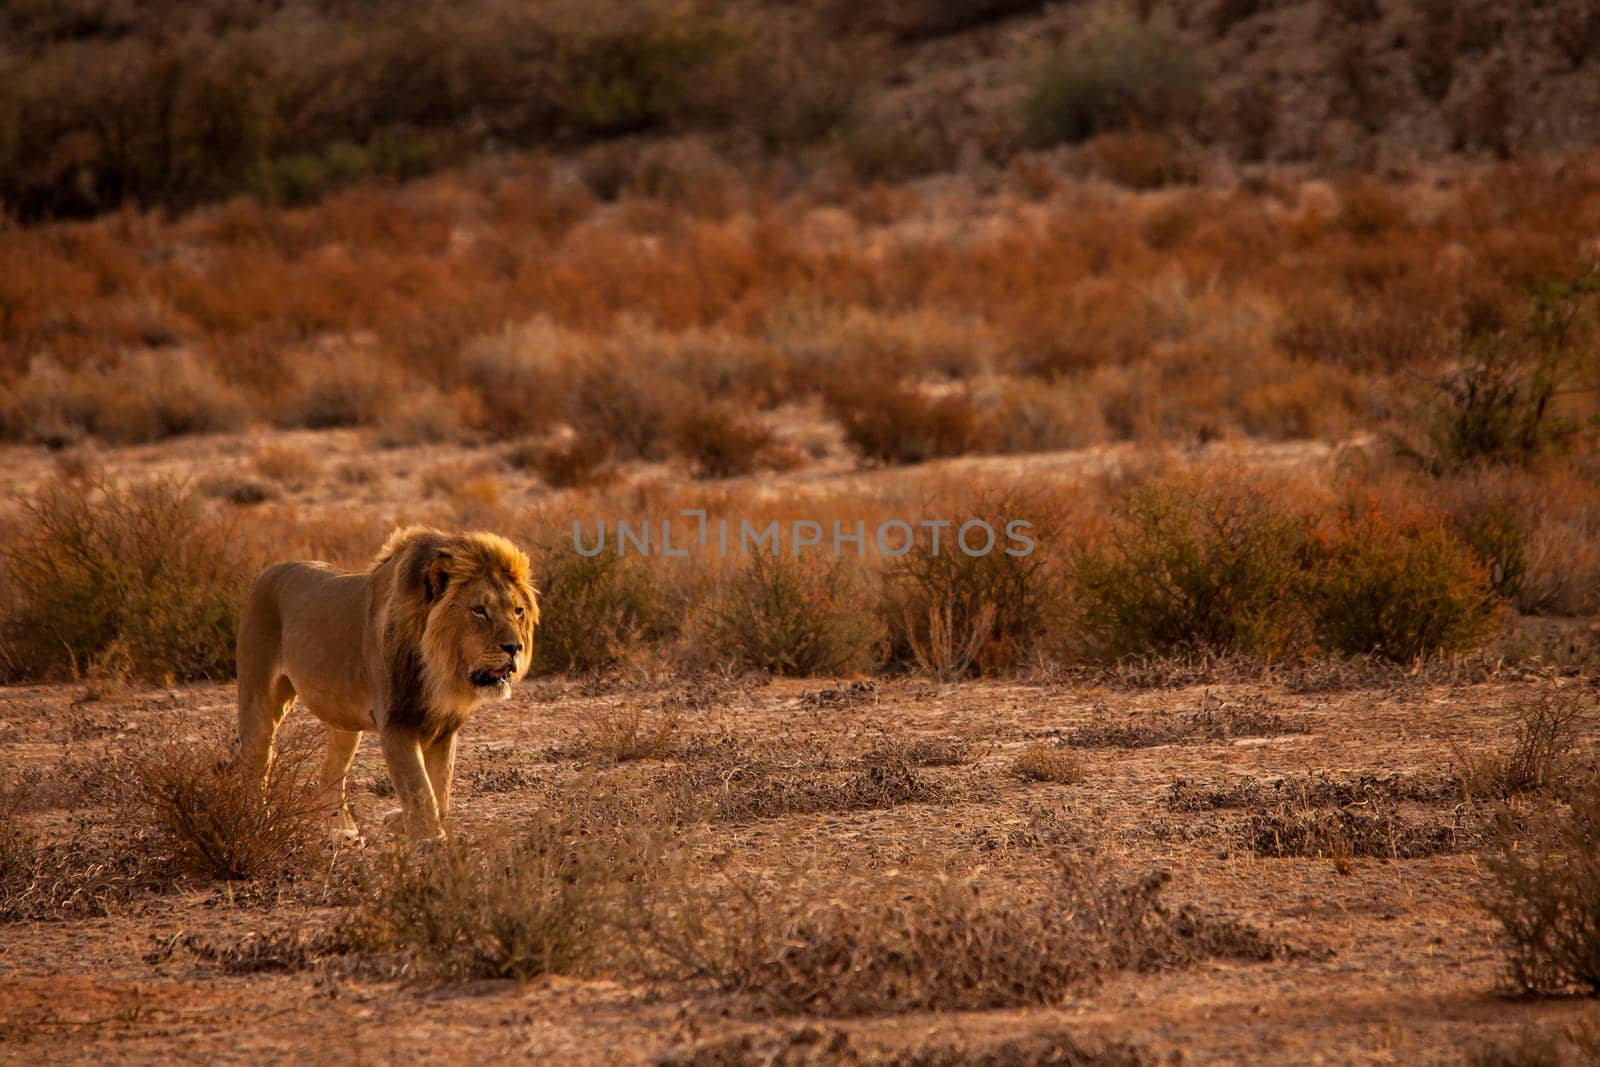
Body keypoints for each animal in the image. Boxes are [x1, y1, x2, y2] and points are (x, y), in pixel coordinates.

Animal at [233, 524, 537, 844]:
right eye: (479, 610)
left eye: (518, 611)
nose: (514, 647)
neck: (441, 672)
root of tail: (267, 572)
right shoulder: (396, 725)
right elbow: (420, 791)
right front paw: (429, 840)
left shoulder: (444, 729)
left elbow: (440, 796)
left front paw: (398, 821)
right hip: (259, 702)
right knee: (255, 764)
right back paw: (259, 824)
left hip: (345, 722)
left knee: (329, 774)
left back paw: (341, 831)